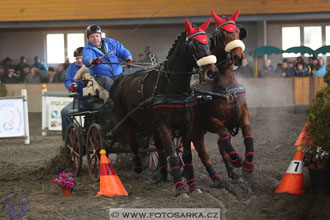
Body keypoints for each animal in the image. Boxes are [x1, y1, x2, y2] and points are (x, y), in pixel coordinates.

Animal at [111, 18, 218, 198]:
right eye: (193, 44)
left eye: (209, 42)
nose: (212, 71)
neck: (173, 87)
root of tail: (119, 80)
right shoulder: (164, 126)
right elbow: (173, 155)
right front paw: (181, 189)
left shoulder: (186, 125)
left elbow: (186, 156)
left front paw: (193, 186)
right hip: (127, 120)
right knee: (132, 142)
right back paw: (137, 167)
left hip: (152, 125)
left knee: (158, 148)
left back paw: (162, 173)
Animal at [188, 9, 253, 183]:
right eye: (222, 34)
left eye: (237, 31)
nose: (238, 57)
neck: (226, 86)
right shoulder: (213, 121)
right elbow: (224, 134)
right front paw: (236, 159)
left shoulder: (242, 114)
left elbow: (247, 132)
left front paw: (248, 165)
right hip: (196, 130)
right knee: (202, 152)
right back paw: (216, 177)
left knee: (220, 145)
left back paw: (231, 172)